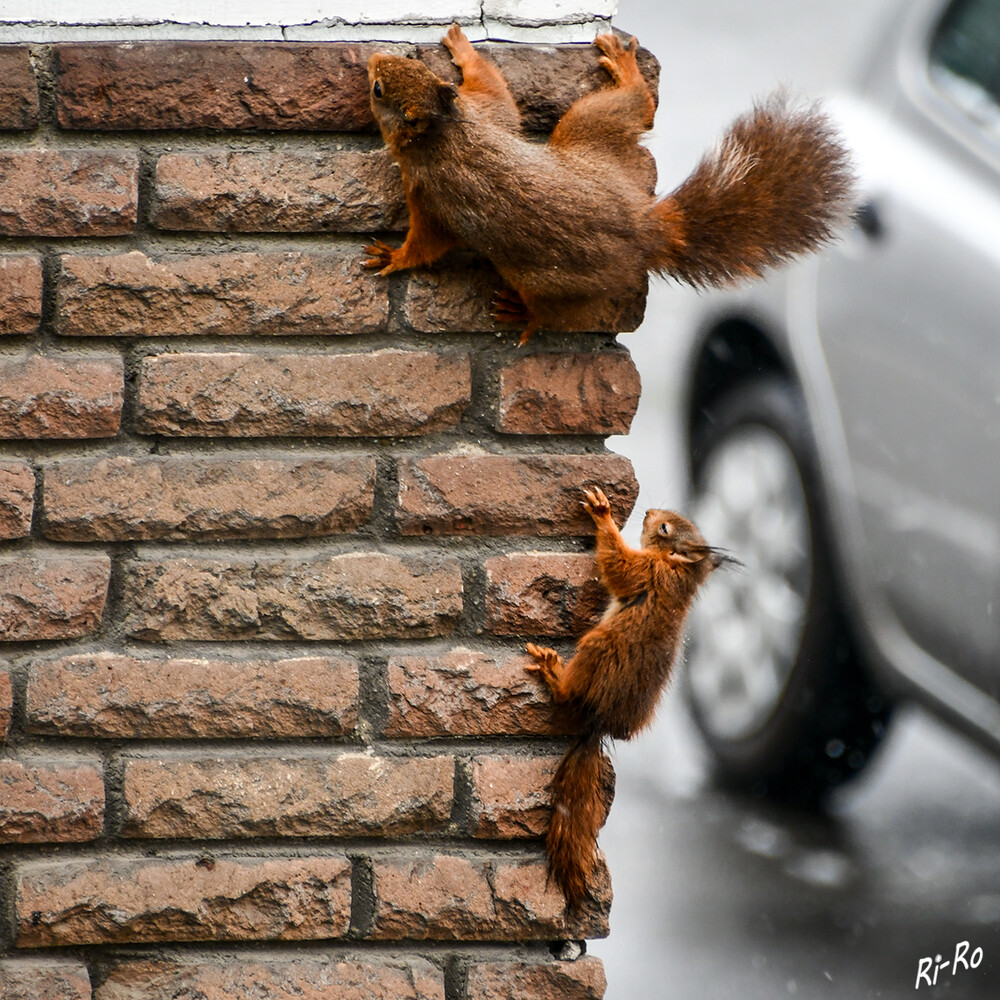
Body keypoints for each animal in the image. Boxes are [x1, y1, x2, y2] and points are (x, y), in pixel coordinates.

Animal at [364, 23, 856, 342]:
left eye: (377, 91)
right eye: (407, 67)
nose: (373, 58)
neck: (446, 133)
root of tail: (648, 230)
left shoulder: (432, 197)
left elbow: (428, 243)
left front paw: (393, 257)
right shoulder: (487, 114)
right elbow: (496, 92)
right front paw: (465, 50)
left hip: (548, 277)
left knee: (556, 315)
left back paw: (525, 316)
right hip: (591, 131)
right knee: (636, 107)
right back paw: (625, 69)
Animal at [528, 488, 732, 912]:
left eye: (665, 527)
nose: (651, 510)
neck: (679, 574)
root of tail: (599, 721)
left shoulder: (645, 572)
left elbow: (618, 566)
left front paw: (602, 514)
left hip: (597, 647)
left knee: (568, 692)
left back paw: (553, 673)